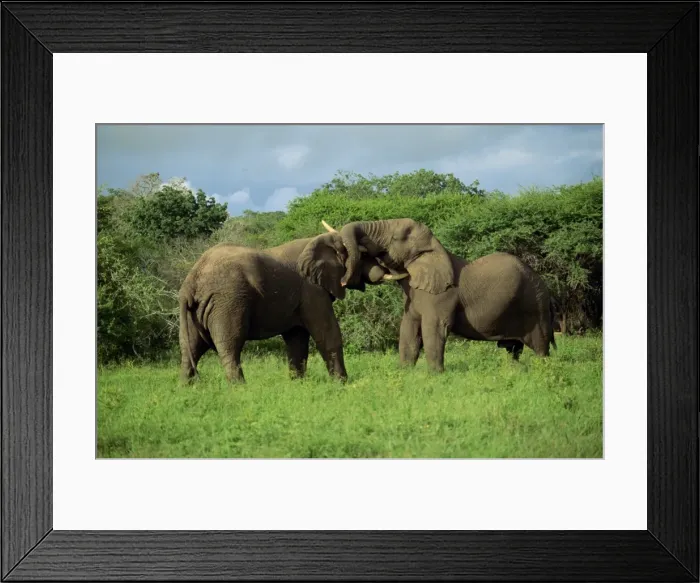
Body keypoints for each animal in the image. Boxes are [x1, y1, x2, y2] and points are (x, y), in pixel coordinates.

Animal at [178, 232, 402, 385]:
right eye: (365, 256)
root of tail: (191, 280)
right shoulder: (312, 289)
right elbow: (327, 334)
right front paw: (342, 384)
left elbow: (297, 339)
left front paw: (298, 384)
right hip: (227, 302)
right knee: (229, 345)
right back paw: (240, 388)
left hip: (196, 311)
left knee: (191, 347)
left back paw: (187, 387)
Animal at [322, 219, 556, 372]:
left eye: (395, 238)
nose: (343, 281)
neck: (433, 248)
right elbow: (408, 331)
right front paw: (404, 373)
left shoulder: (442, 296)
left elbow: (433, 330)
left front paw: (435, 376)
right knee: (513, 350)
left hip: (535, 305)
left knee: (540, 346)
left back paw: (543, 371)